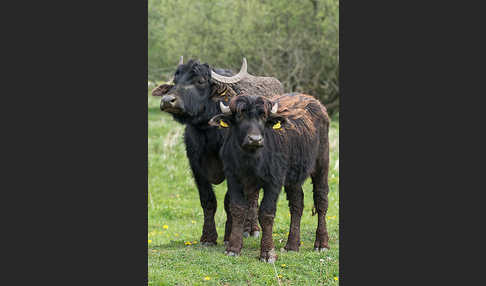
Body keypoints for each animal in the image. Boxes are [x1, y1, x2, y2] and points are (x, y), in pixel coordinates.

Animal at [151, 57, 280, 245]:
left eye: (200, 81)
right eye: (175, 80)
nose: (168, 100)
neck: (209, 134)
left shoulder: (234, 168)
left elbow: (229, 202)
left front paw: (229, 235)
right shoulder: (196, 167)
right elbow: (207, 200)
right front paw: (208, 237)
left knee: (253, 197)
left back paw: (252, 229)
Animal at [209, 93, 330, 262]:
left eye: (264, 116)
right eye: (240, 115)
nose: (255, 139)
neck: (251, 159)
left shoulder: (274, 181)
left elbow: (266, 213)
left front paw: (267, 253)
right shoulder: (233, 178)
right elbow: (238, 209)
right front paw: (233, 248)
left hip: (322, 165)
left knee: (321, 201)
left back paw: (321, 244)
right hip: (293, 178)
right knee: (297, 205)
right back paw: (292, 245)